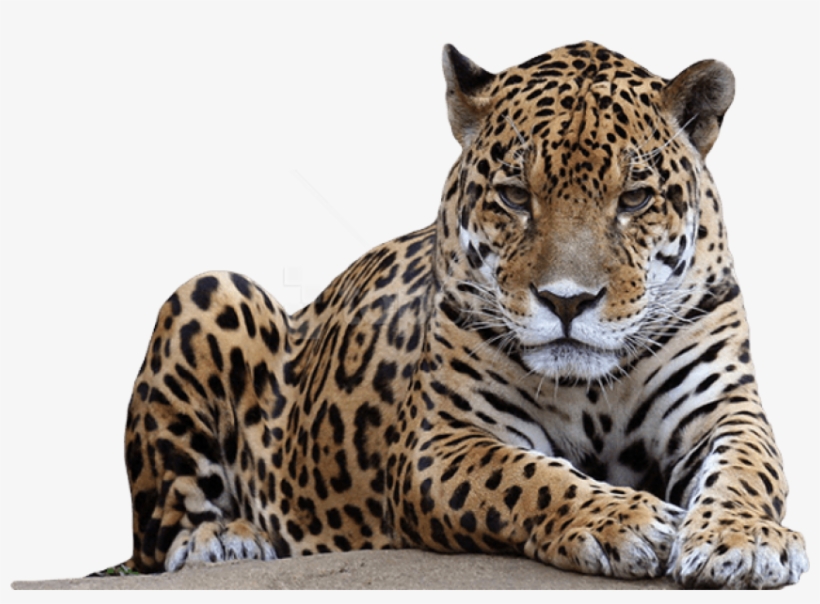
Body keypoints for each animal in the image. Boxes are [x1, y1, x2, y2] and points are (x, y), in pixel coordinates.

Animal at [111, 41, 808, 588]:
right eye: (515, 196)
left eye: (635, 199)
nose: (567, 301)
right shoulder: (443, 440)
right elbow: (528, 477)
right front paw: (624, 521)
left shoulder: (723, 408)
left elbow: (749, 469)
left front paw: (742, 541)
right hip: (210, 291)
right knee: (161, 534)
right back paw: (224, 541)